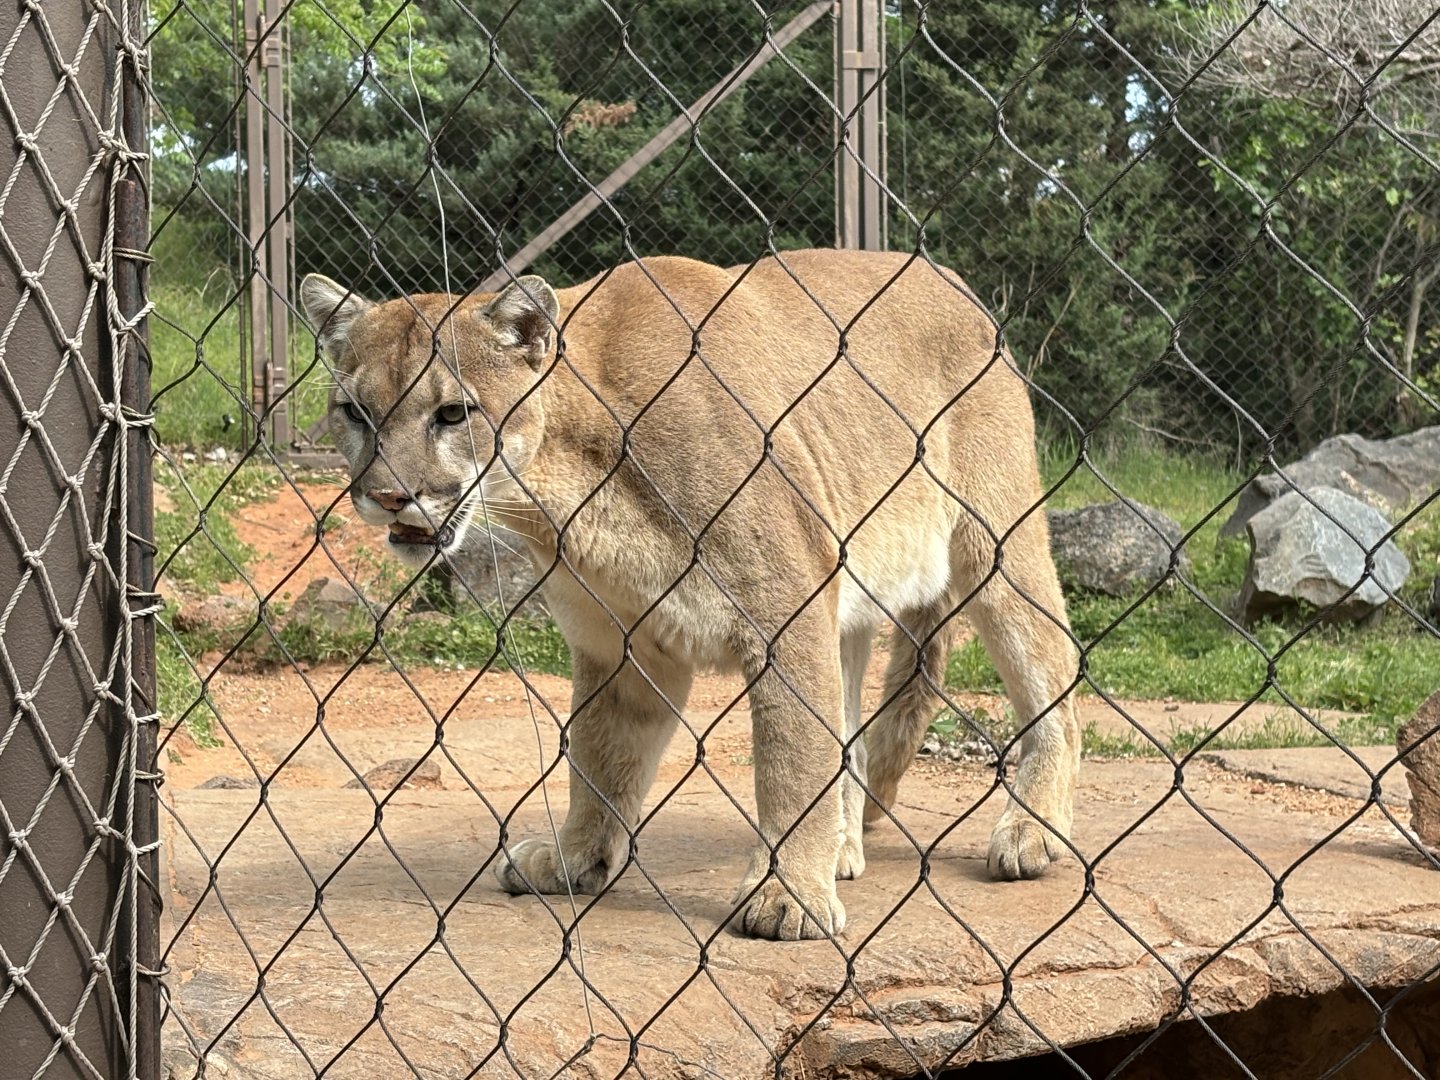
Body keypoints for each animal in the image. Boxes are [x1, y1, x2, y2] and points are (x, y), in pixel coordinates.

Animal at [299, 249, 1081, 941]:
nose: (386, 495)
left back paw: (1031, 832)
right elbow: (599, 756)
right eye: (354, 412)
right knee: (852, 730)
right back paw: (846, 849)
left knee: (1055, 677)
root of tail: (955, 282)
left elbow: (792, 758)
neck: (564, 481)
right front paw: (576, 858)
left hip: (994, 546)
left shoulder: (785, 611)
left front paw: (787, 896)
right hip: (851, 595)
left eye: (453, 414)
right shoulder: (619, 641)